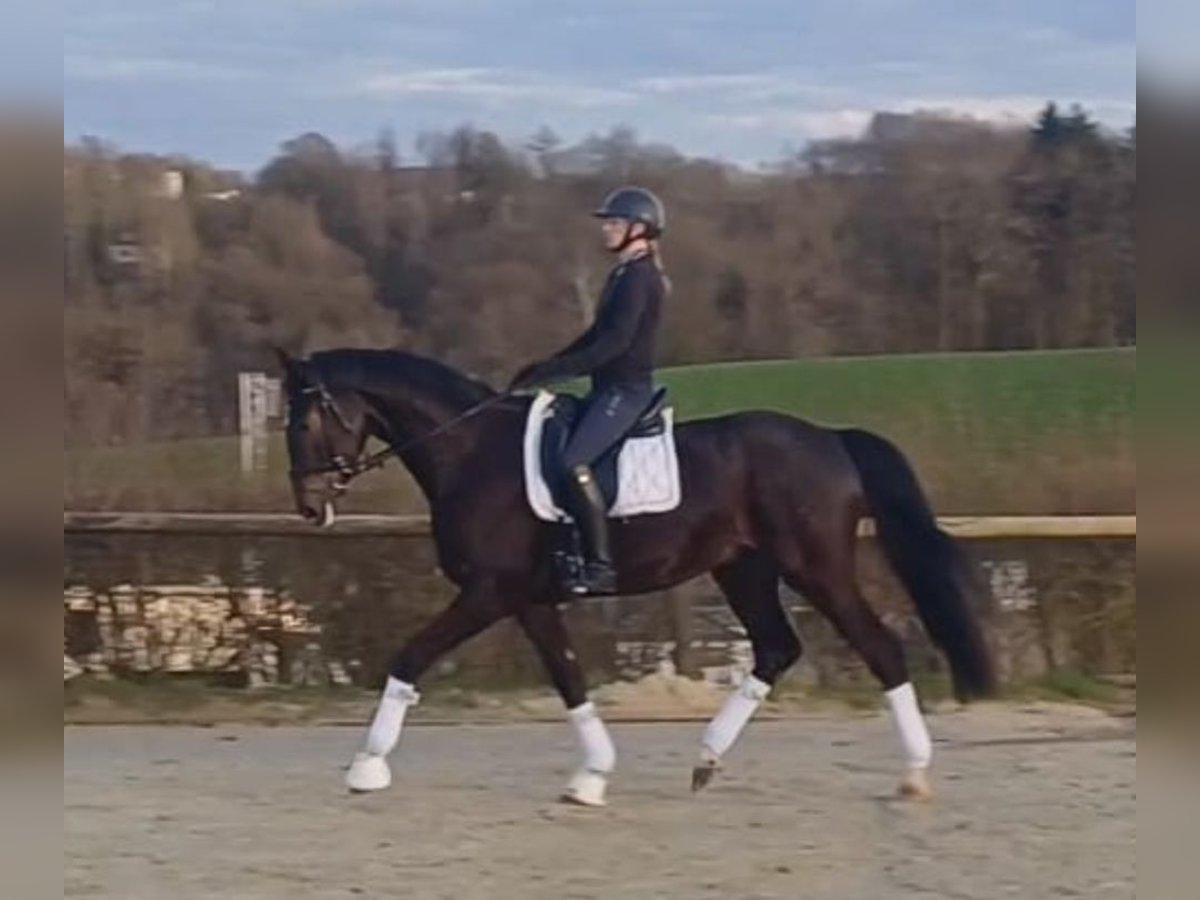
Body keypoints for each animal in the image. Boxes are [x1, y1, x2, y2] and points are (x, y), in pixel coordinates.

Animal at [276, 348, 998, 806]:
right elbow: (570, 681)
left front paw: (366, 767)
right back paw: (706, 761)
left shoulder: (487, 592)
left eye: (306, 418)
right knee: (776, 648)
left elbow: (410, 657)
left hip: (815, 567)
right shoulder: (528, 599)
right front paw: (591, 778)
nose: (309, 507)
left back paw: (913, 775)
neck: (471, 453)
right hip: (743, 568)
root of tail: (831, 438)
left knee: (881, 648)